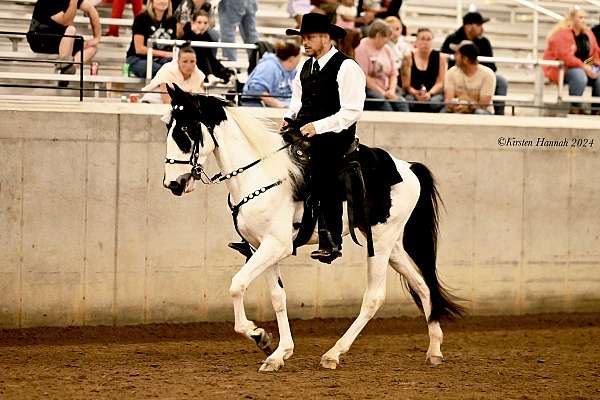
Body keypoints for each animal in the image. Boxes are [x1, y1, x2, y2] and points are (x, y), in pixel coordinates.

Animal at [161, 83, 464, 372]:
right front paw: (277, 353)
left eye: (185, 130)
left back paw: (333, 354)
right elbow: (278, 297)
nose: (173, 184)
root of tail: (409, 167)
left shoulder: (276, 246)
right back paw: (434, 349)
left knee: (374, 297)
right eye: (168, 127)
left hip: (380, 243)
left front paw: (258, 335)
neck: (260, 174)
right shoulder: (261, 248)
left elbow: (237, 285)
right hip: (392, 247)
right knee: (423, 286)